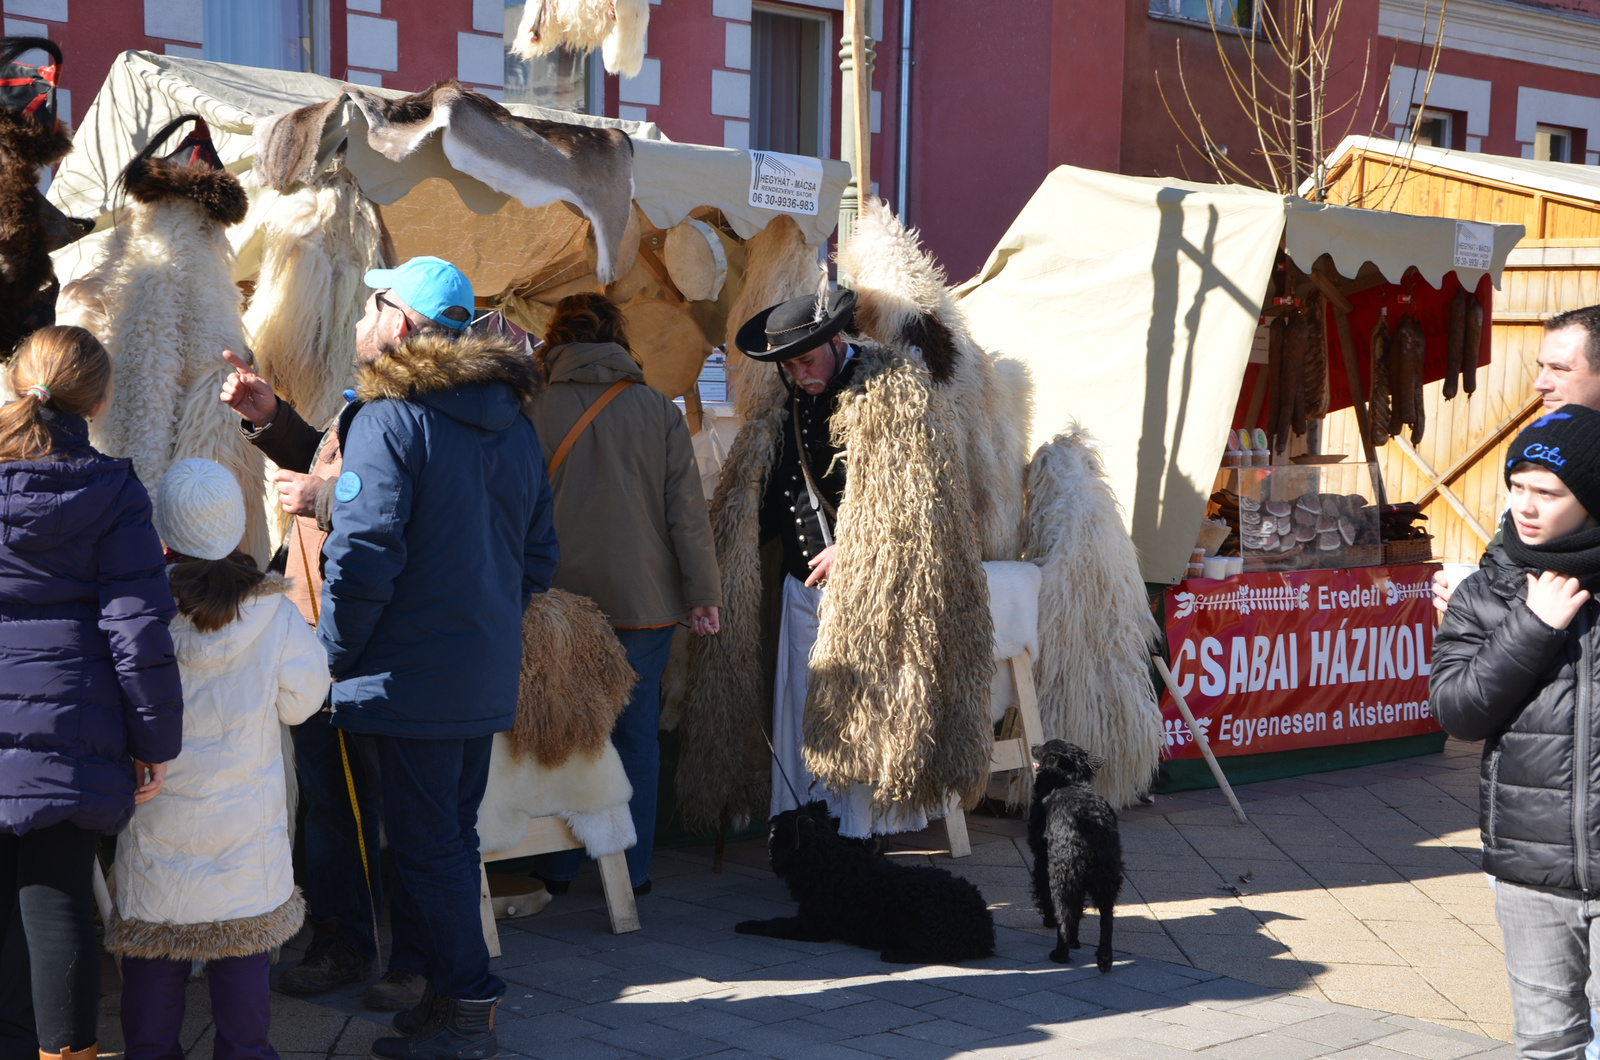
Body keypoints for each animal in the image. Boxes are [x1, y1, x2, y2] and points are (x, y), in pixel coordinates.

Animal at [732, 800, 985, 967]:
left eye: (775, 833)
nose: (770, 856)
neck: (828, 862)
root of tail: (983, 926)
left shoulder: (810, 926)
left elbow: (774, 924)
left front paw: (748, 925)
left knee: (938, 952)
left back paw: (895, 954)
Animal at [1024, 742, 1126, 973]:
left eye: (1044, 748)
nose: (1033, 745)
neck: (1068, 782)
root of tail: (1092, 826)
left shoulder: (1042, 862)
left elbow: (1051, 902)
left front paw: (1052, 924)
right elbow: (1078, 910)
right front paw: (1075, 941)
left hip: (1061, 874)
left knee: (1063, 912)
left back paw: (1060, 954)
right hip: (1106, 877)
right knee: (1106, 918)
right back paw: (1104, 958)